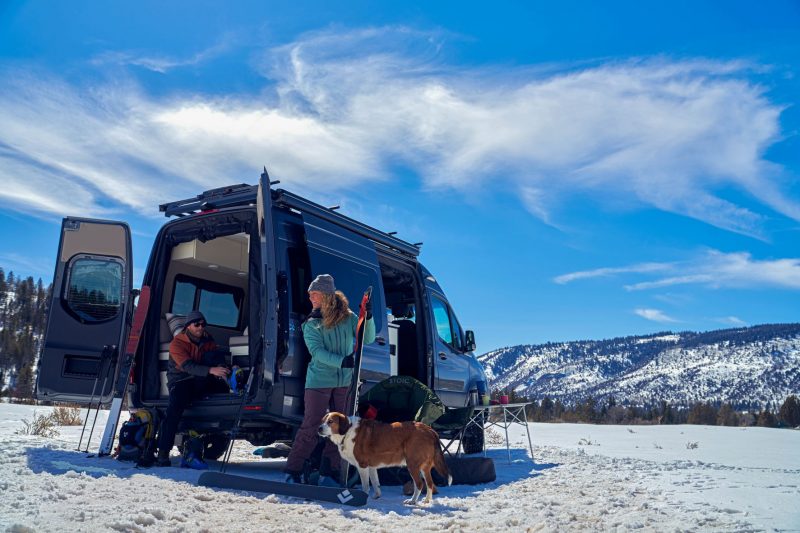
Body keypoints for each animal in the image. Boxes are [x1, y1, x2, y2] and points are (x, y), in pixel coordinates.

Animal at [320, 412, 456, 502]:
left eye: (330, 421)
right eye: (323, 420)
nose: (319, 428)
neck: (347, 430)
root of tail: (429, 430)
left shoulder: (362, 466)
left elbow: (365, 485)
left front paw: (364, 497)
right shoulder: (371, 467)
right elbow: (376, 483)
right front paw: (376, 496)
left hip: (412, 464)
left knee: (419, 484)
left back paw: (412, 501)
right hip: (424, 467)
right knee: (430, 483)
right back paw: (427, 500)